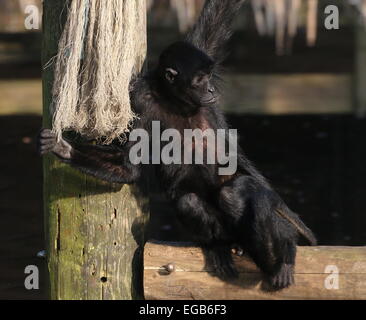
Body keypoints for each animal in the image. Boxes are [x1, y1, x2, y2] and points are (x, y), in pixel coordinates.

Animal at [38, 0, 316, 290]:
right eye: (200, 80)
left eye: (208, 76)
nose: (211, 90)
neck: (173, 99)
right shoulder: (140, 100)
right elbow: (130, 168)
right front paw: (63, 148)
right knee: (190, 201)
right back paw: (219, 246)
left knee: (240, 188)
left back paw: (281, 260)